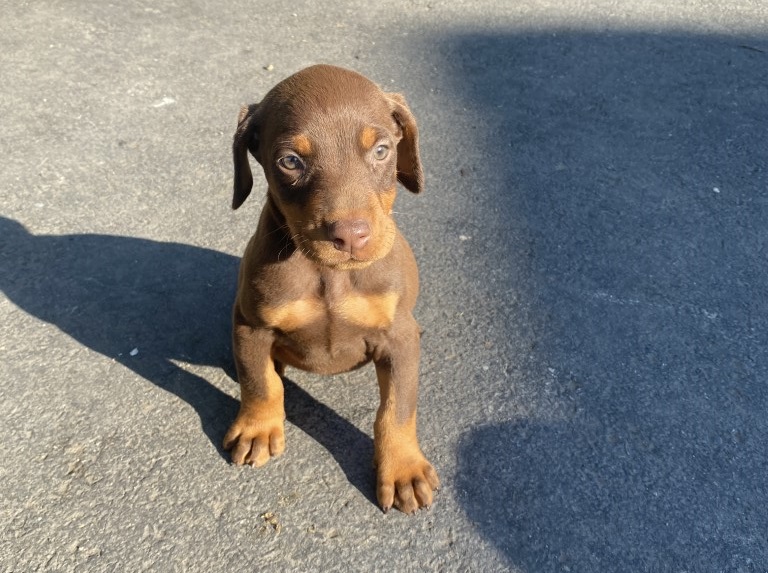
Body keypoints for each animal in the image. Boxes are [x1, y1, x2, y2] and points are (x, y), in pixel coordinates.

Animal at [222, 65, 438, 512]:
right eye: (290, 161)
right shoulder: (250, 324)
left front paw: (403, 468)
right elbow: (258, 382)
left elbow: (397, 408)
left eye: (381, 151)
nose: (351, 236)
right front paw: (257, 428)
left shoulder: (399, 336)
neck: (329, 275)